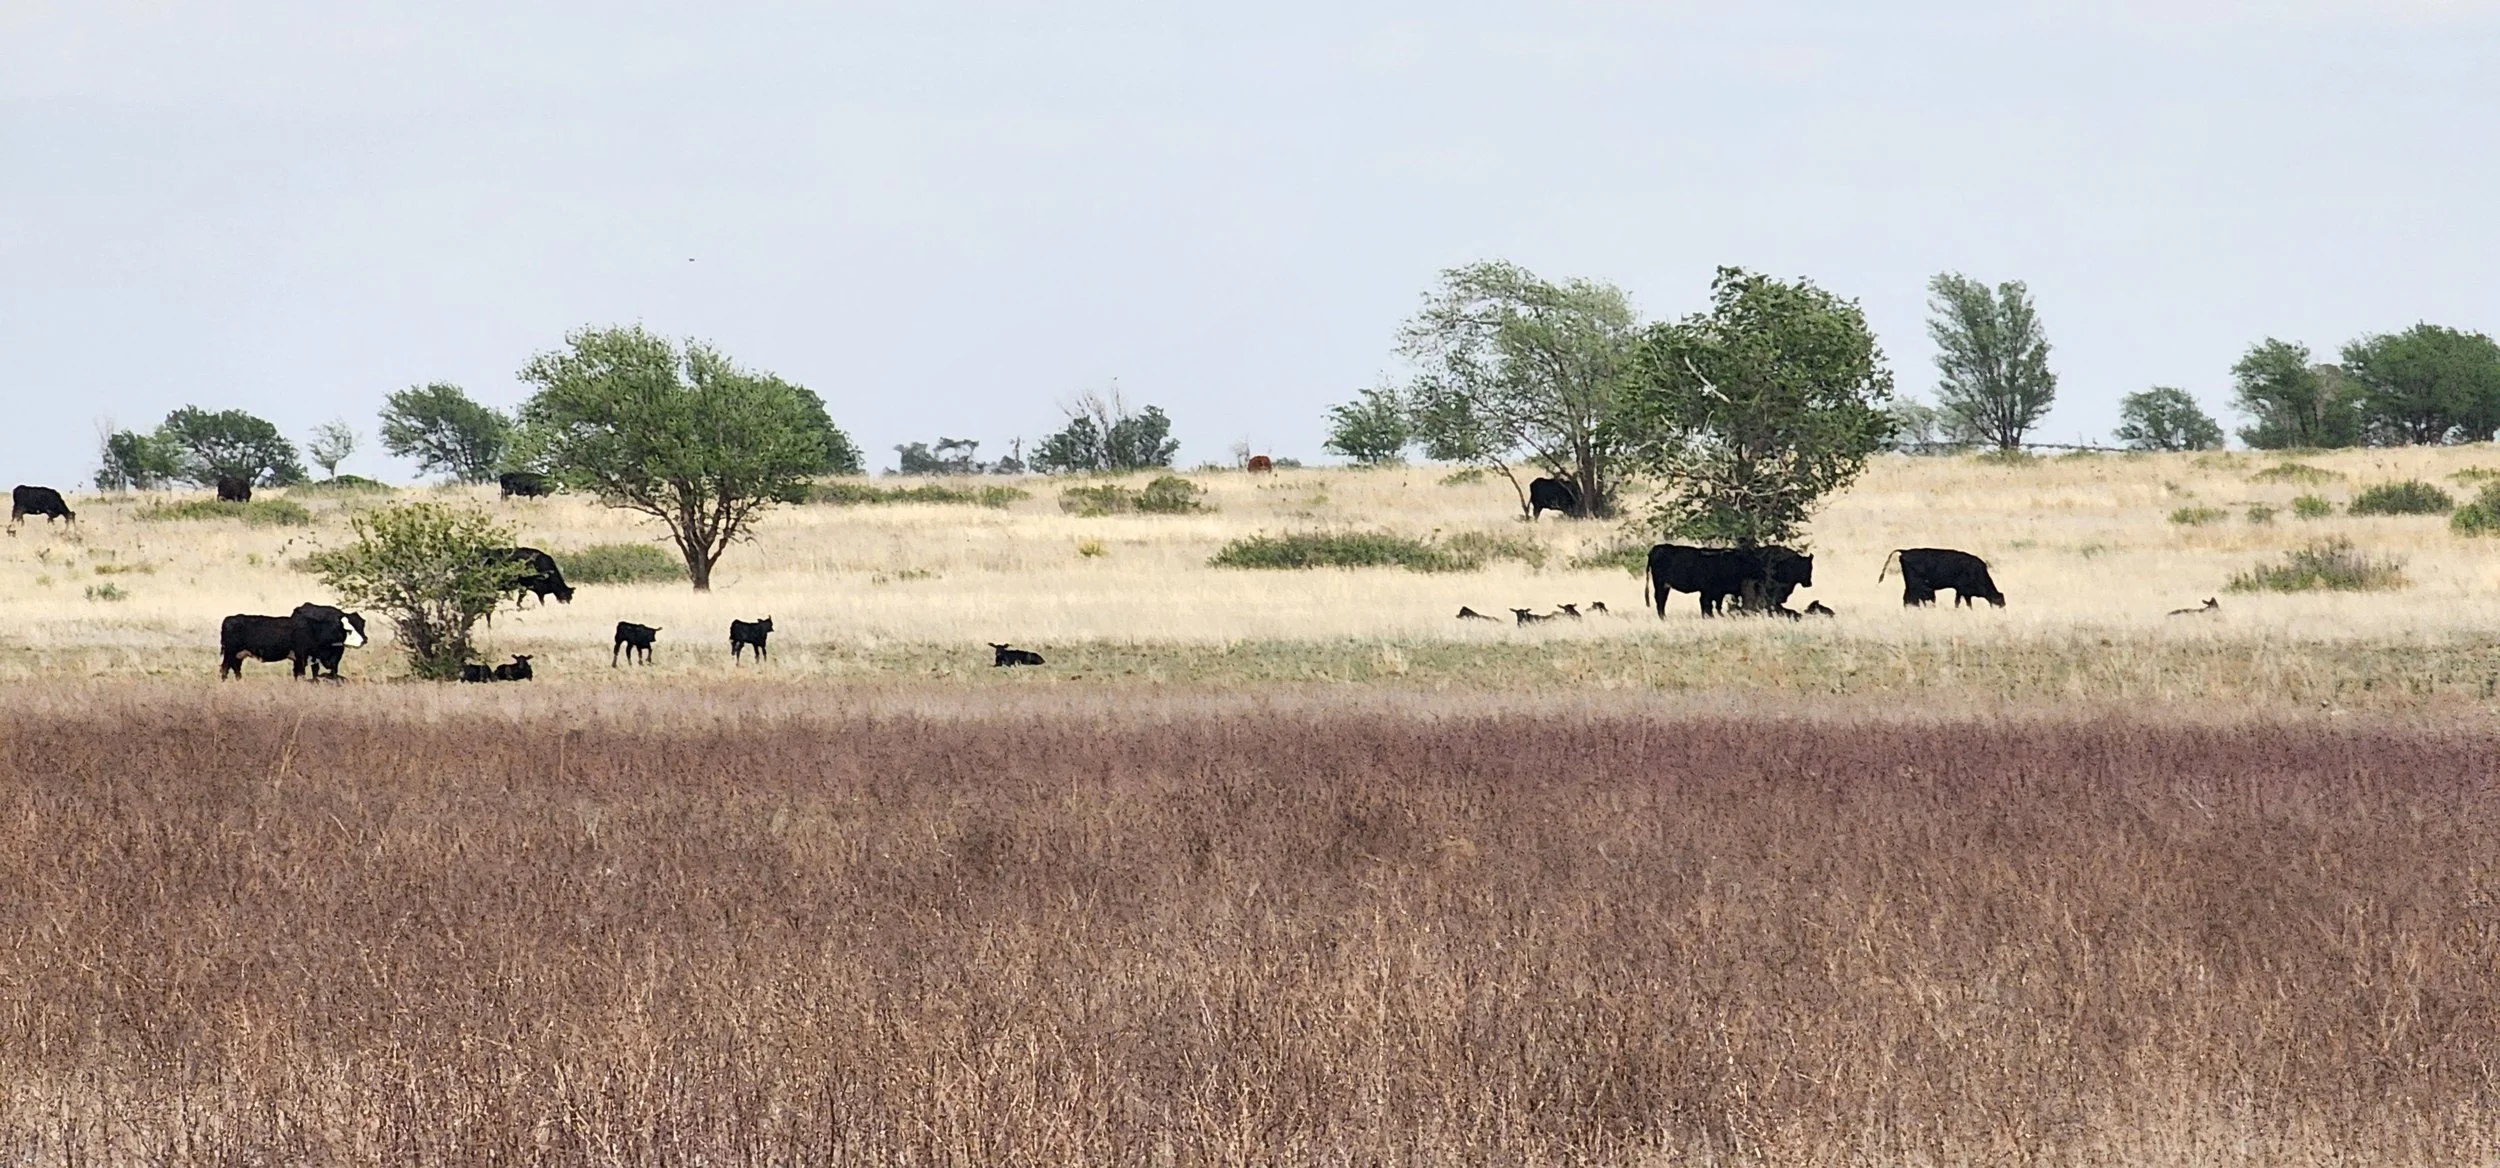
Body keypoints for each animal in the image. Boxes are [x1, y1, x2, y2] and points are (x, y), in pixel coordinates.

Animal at [219, 604, 363, 679]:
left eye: (361, 626)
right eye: (349, 630)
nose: (364, 640)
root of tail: (229, 619)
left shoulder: (311, 659)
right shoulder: (301, 657)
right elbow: (302, 674)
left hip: (238, 655)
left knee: (236, 670)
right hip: (230, 653)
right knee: (225, 669)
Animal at [1647, 545, 1815, 617]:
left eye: (1809, 567)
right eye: (1803, 567)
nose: (1809, 583)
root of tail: (1656, 549)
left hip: (1665, 586)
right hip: (1660, 584)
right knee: (1660, 600)